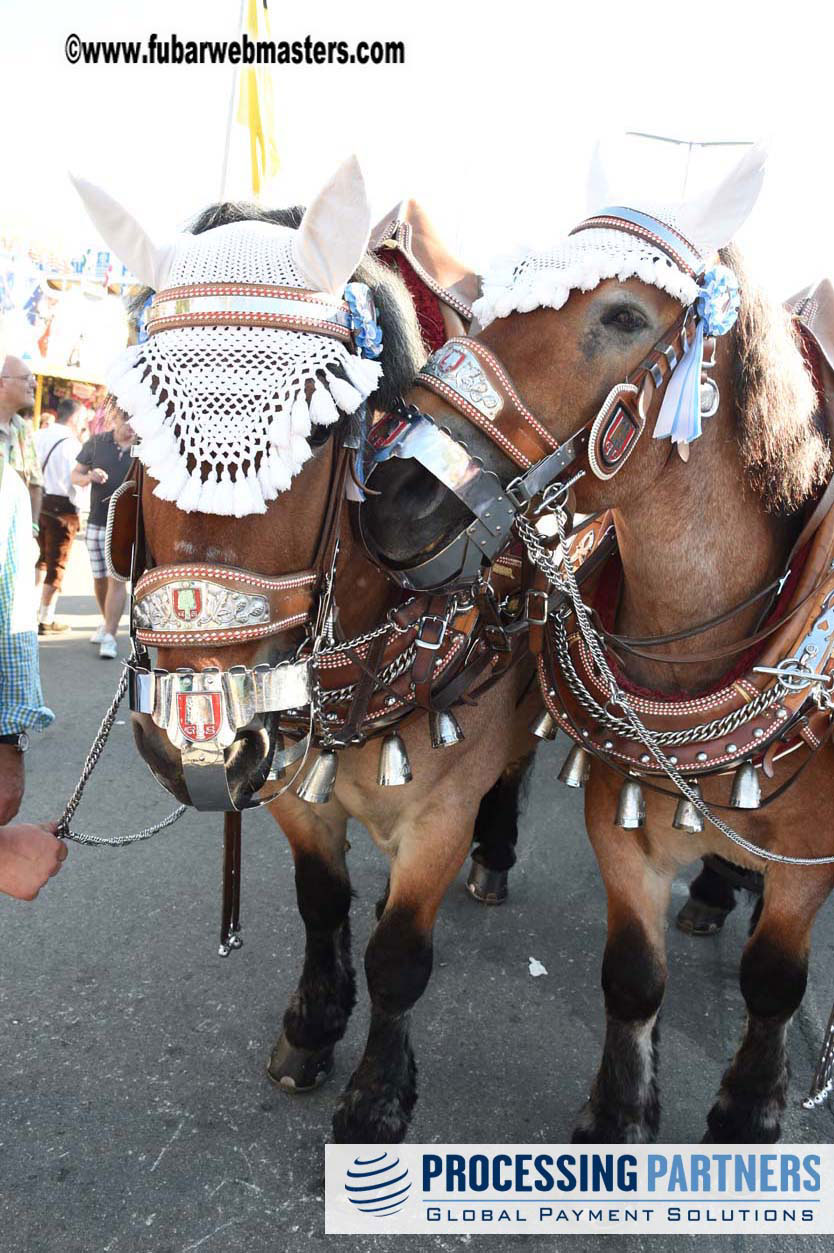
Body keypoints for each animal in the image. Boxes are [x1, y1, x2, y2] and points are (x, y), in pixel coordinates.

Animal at [126, 197, 535, 1147]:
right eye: (140, 425)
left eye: (316, 428)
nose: (195, 733)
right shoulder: (286, 781)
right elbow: (322, 900)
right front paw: (311, 1026)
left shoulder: (439, 809)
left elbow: (400, 955)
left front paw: (379, 1092)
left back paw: (495, 856)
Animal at [363, 246, 831, 1147]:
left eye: (622, 316)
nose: (398, 493)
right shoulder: (620, 827)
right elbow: (633, 977)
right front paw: (618, 1111)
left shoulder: (809, 858)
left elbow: (772, 981)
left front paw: (750, 1108)